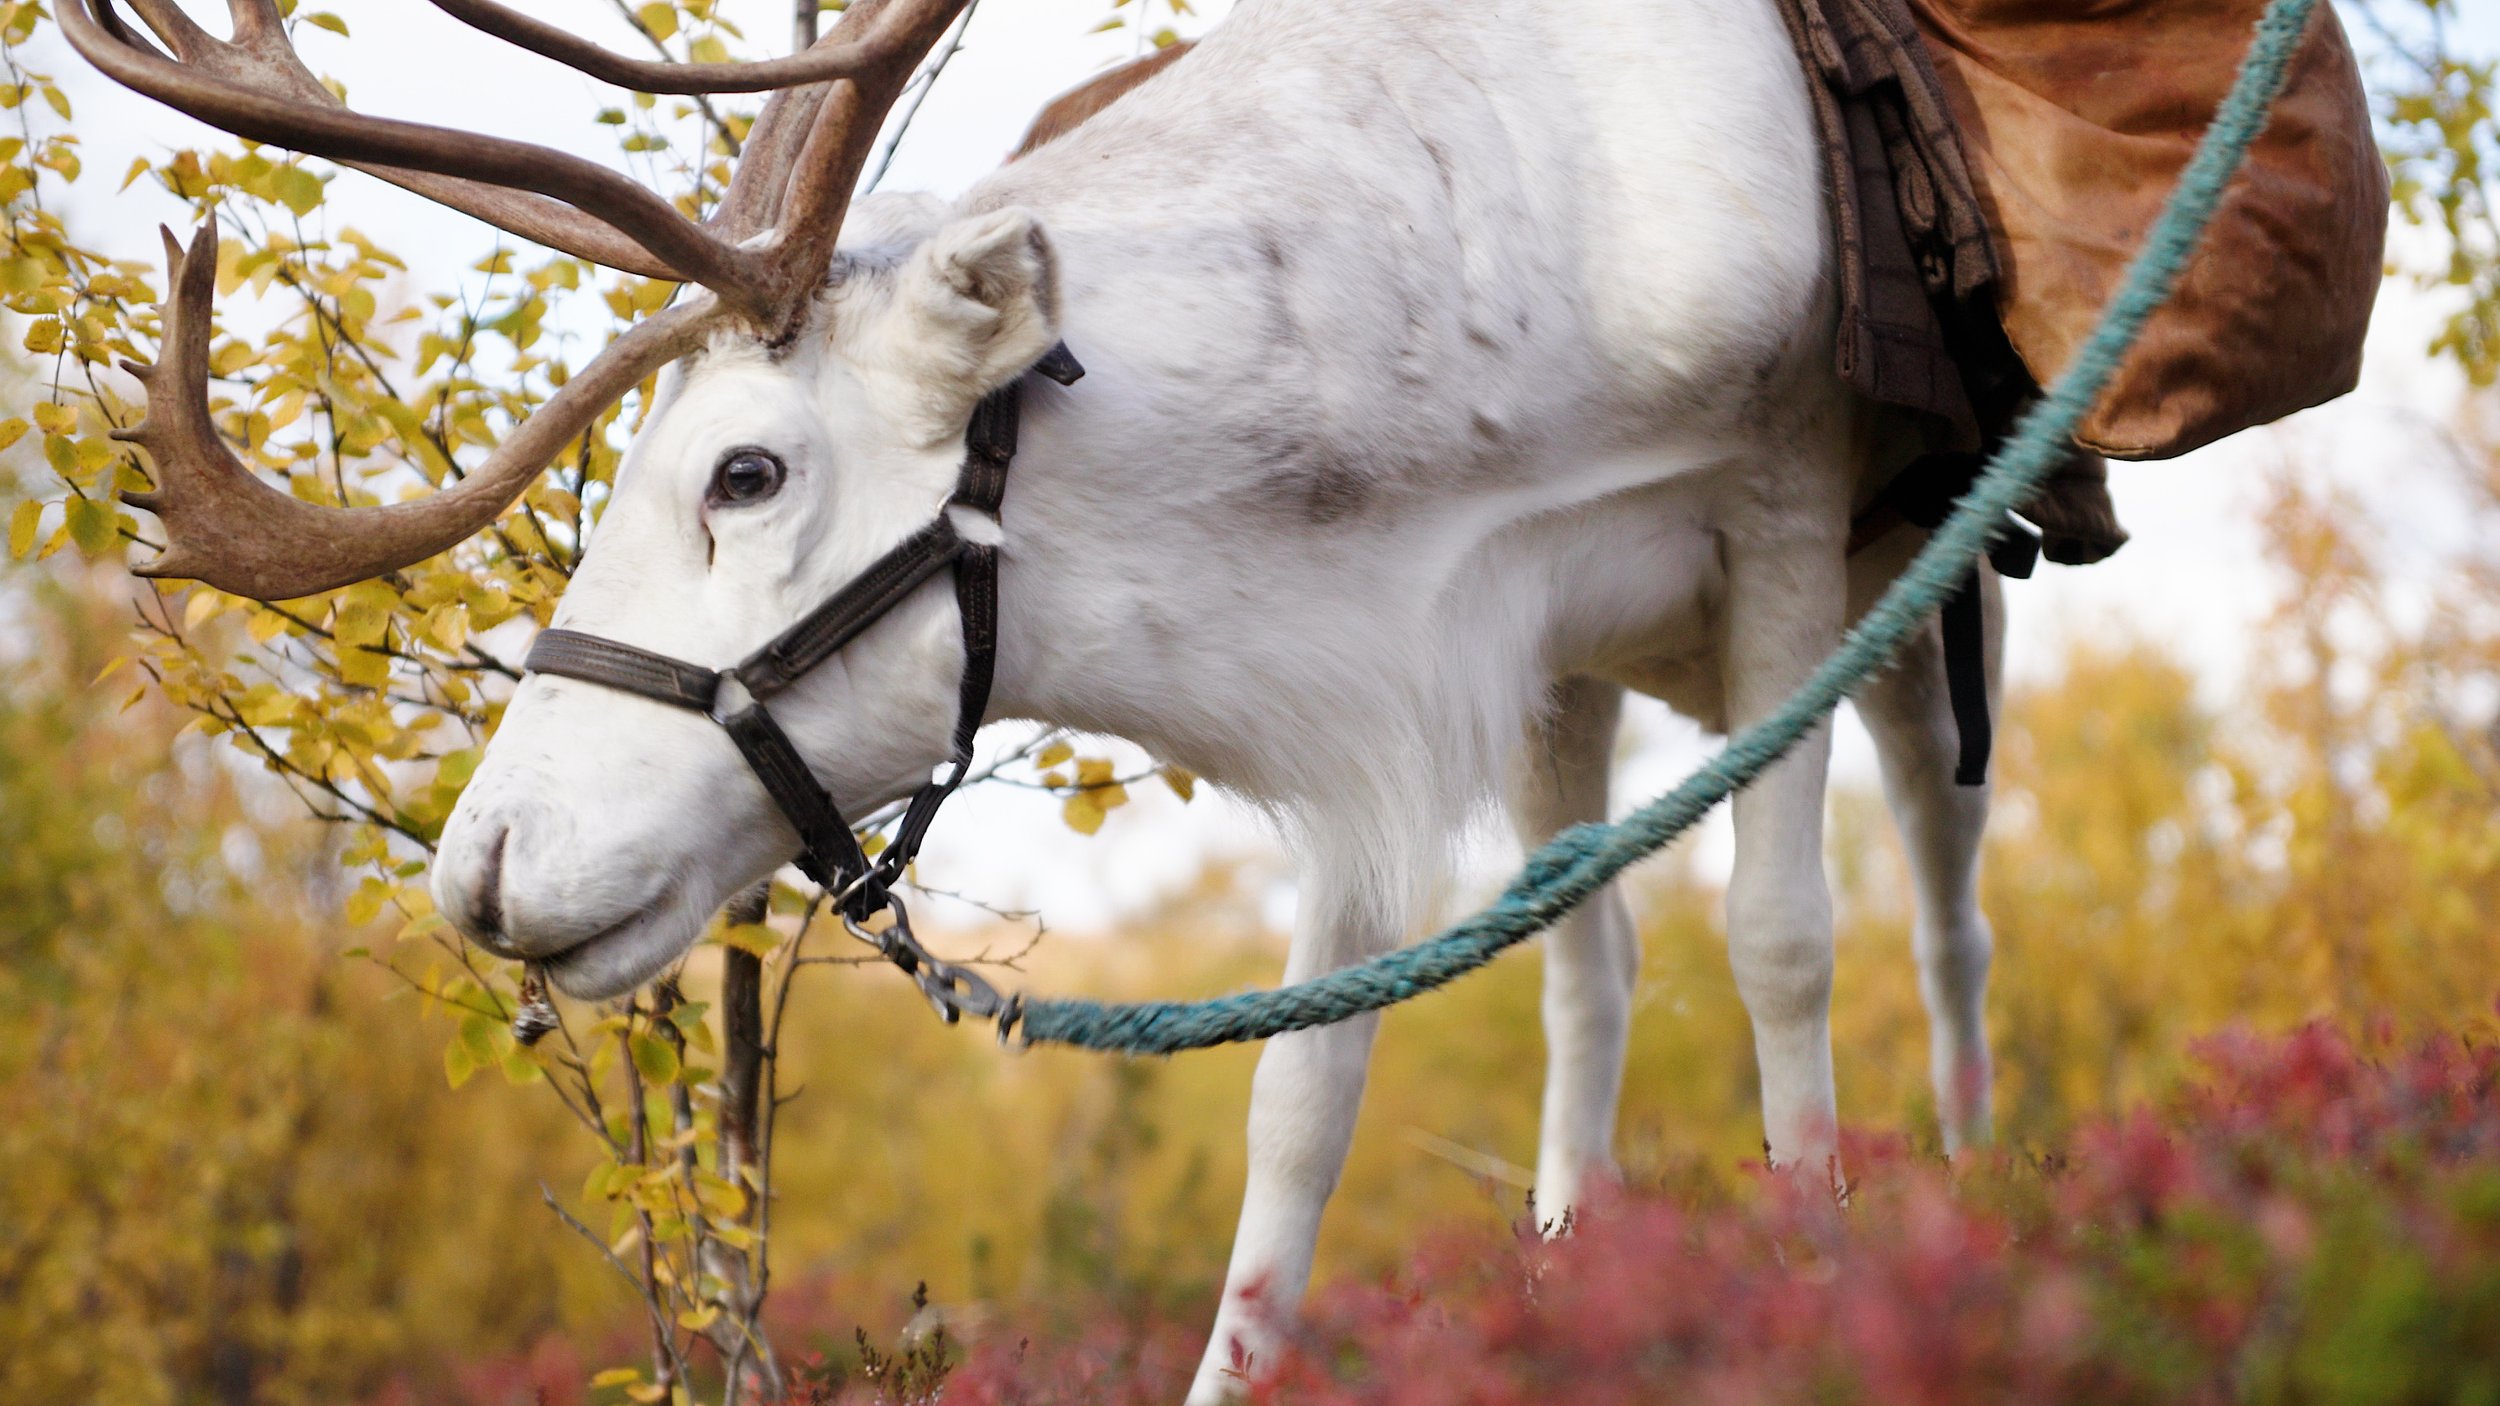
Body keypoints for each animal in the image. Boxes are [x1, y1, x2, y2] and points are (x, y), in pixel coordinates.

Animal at [67, 1, 2001, 1399]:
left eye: (747, 472)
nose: (477, 866)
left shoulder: (1782, 511)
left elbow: (1782, 938)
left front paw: (1830, 1280)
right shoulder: (1430, 646)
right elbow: (1312, 1079)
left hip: (1923, 593)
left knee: (1941, 890)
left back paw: (1977, 1159)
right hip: (1587, 683)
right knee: (1593, 960)